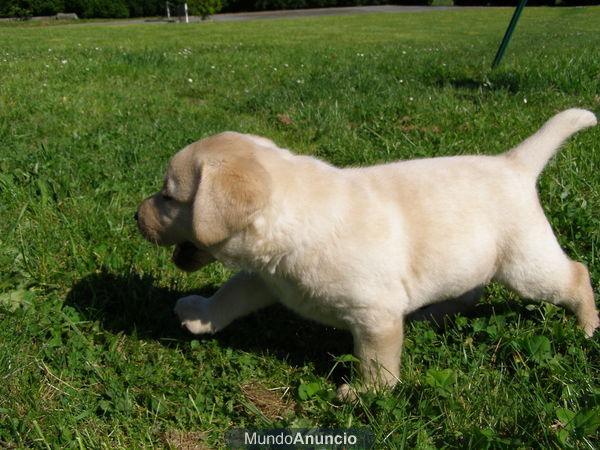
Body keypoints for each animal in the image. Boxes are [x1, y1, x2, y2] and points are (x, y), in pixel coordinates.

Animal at [138, 109, 596, 400]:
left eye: (168, 197)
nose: (136, 215)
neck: (293, 212)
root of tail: (514, 164)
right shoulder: (266, 276)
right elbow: (231, 293)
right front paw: (201, 314)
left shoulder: (374, 314)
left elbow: (377, 360)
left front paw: (366, 393)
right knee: (469, 291)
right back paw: (429, 315)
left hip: (527, 265)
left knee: (576, 274)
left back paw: (588, 328)